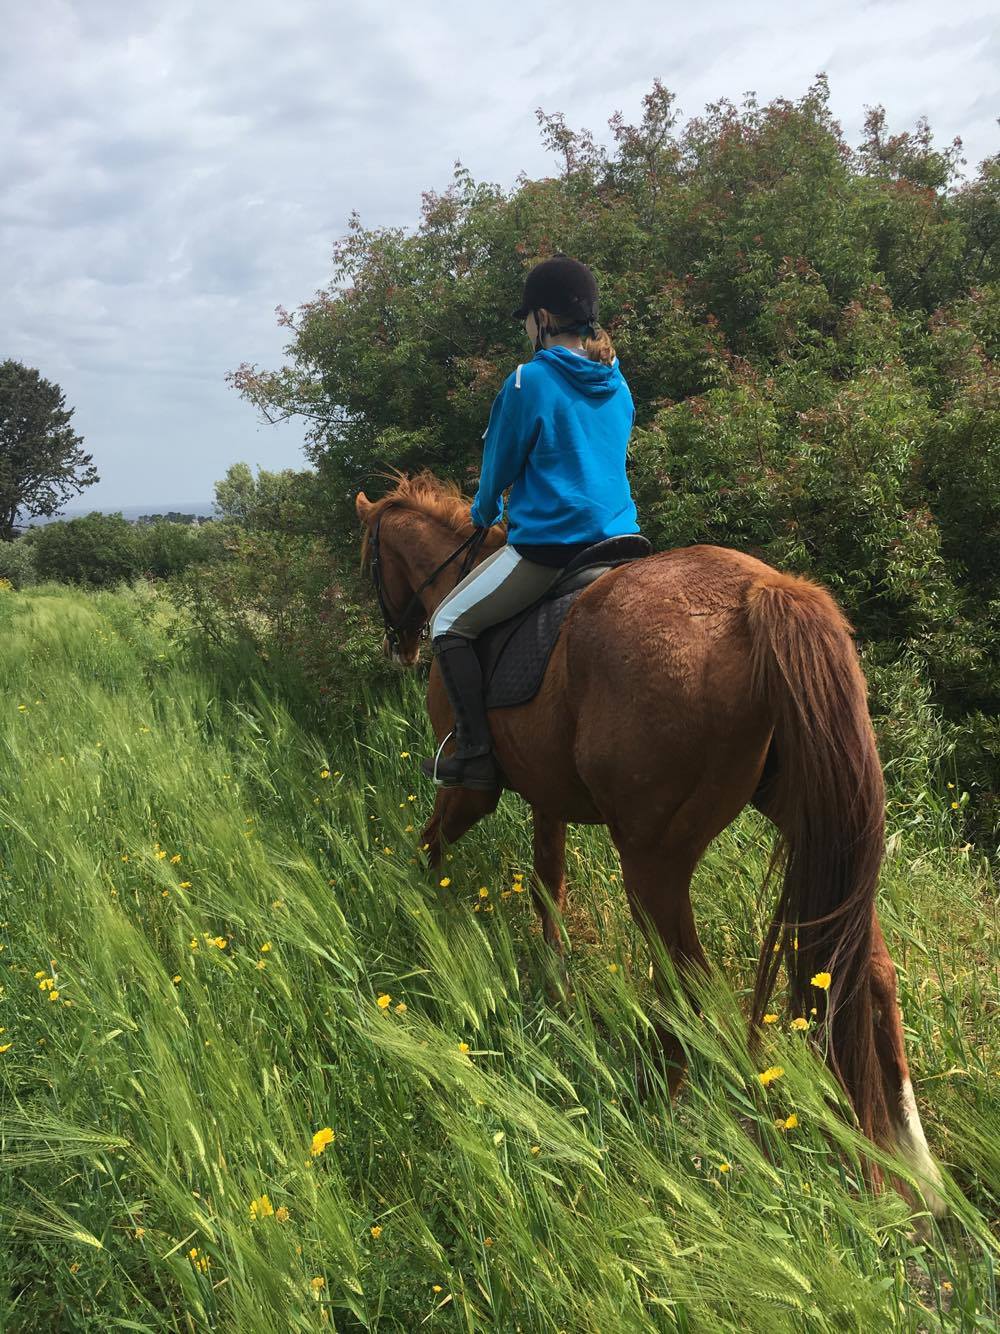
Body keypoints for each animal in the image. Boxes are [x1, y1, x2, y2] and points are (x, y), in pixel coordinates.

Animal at [355, 470, 945, 1215]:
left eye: (370, 557)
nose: (400, 646)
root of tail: (762, 593)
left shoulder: (468, 787)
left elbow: (432, 843)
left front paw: (418, 903)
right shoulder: (547, 797)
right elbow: (548, 883)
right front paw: (555, 979)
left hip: (653, 860)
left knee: (686, 977)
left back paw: (665, 1115)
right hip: (813, 828)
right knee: (867, 969)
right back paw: (914, 1165)